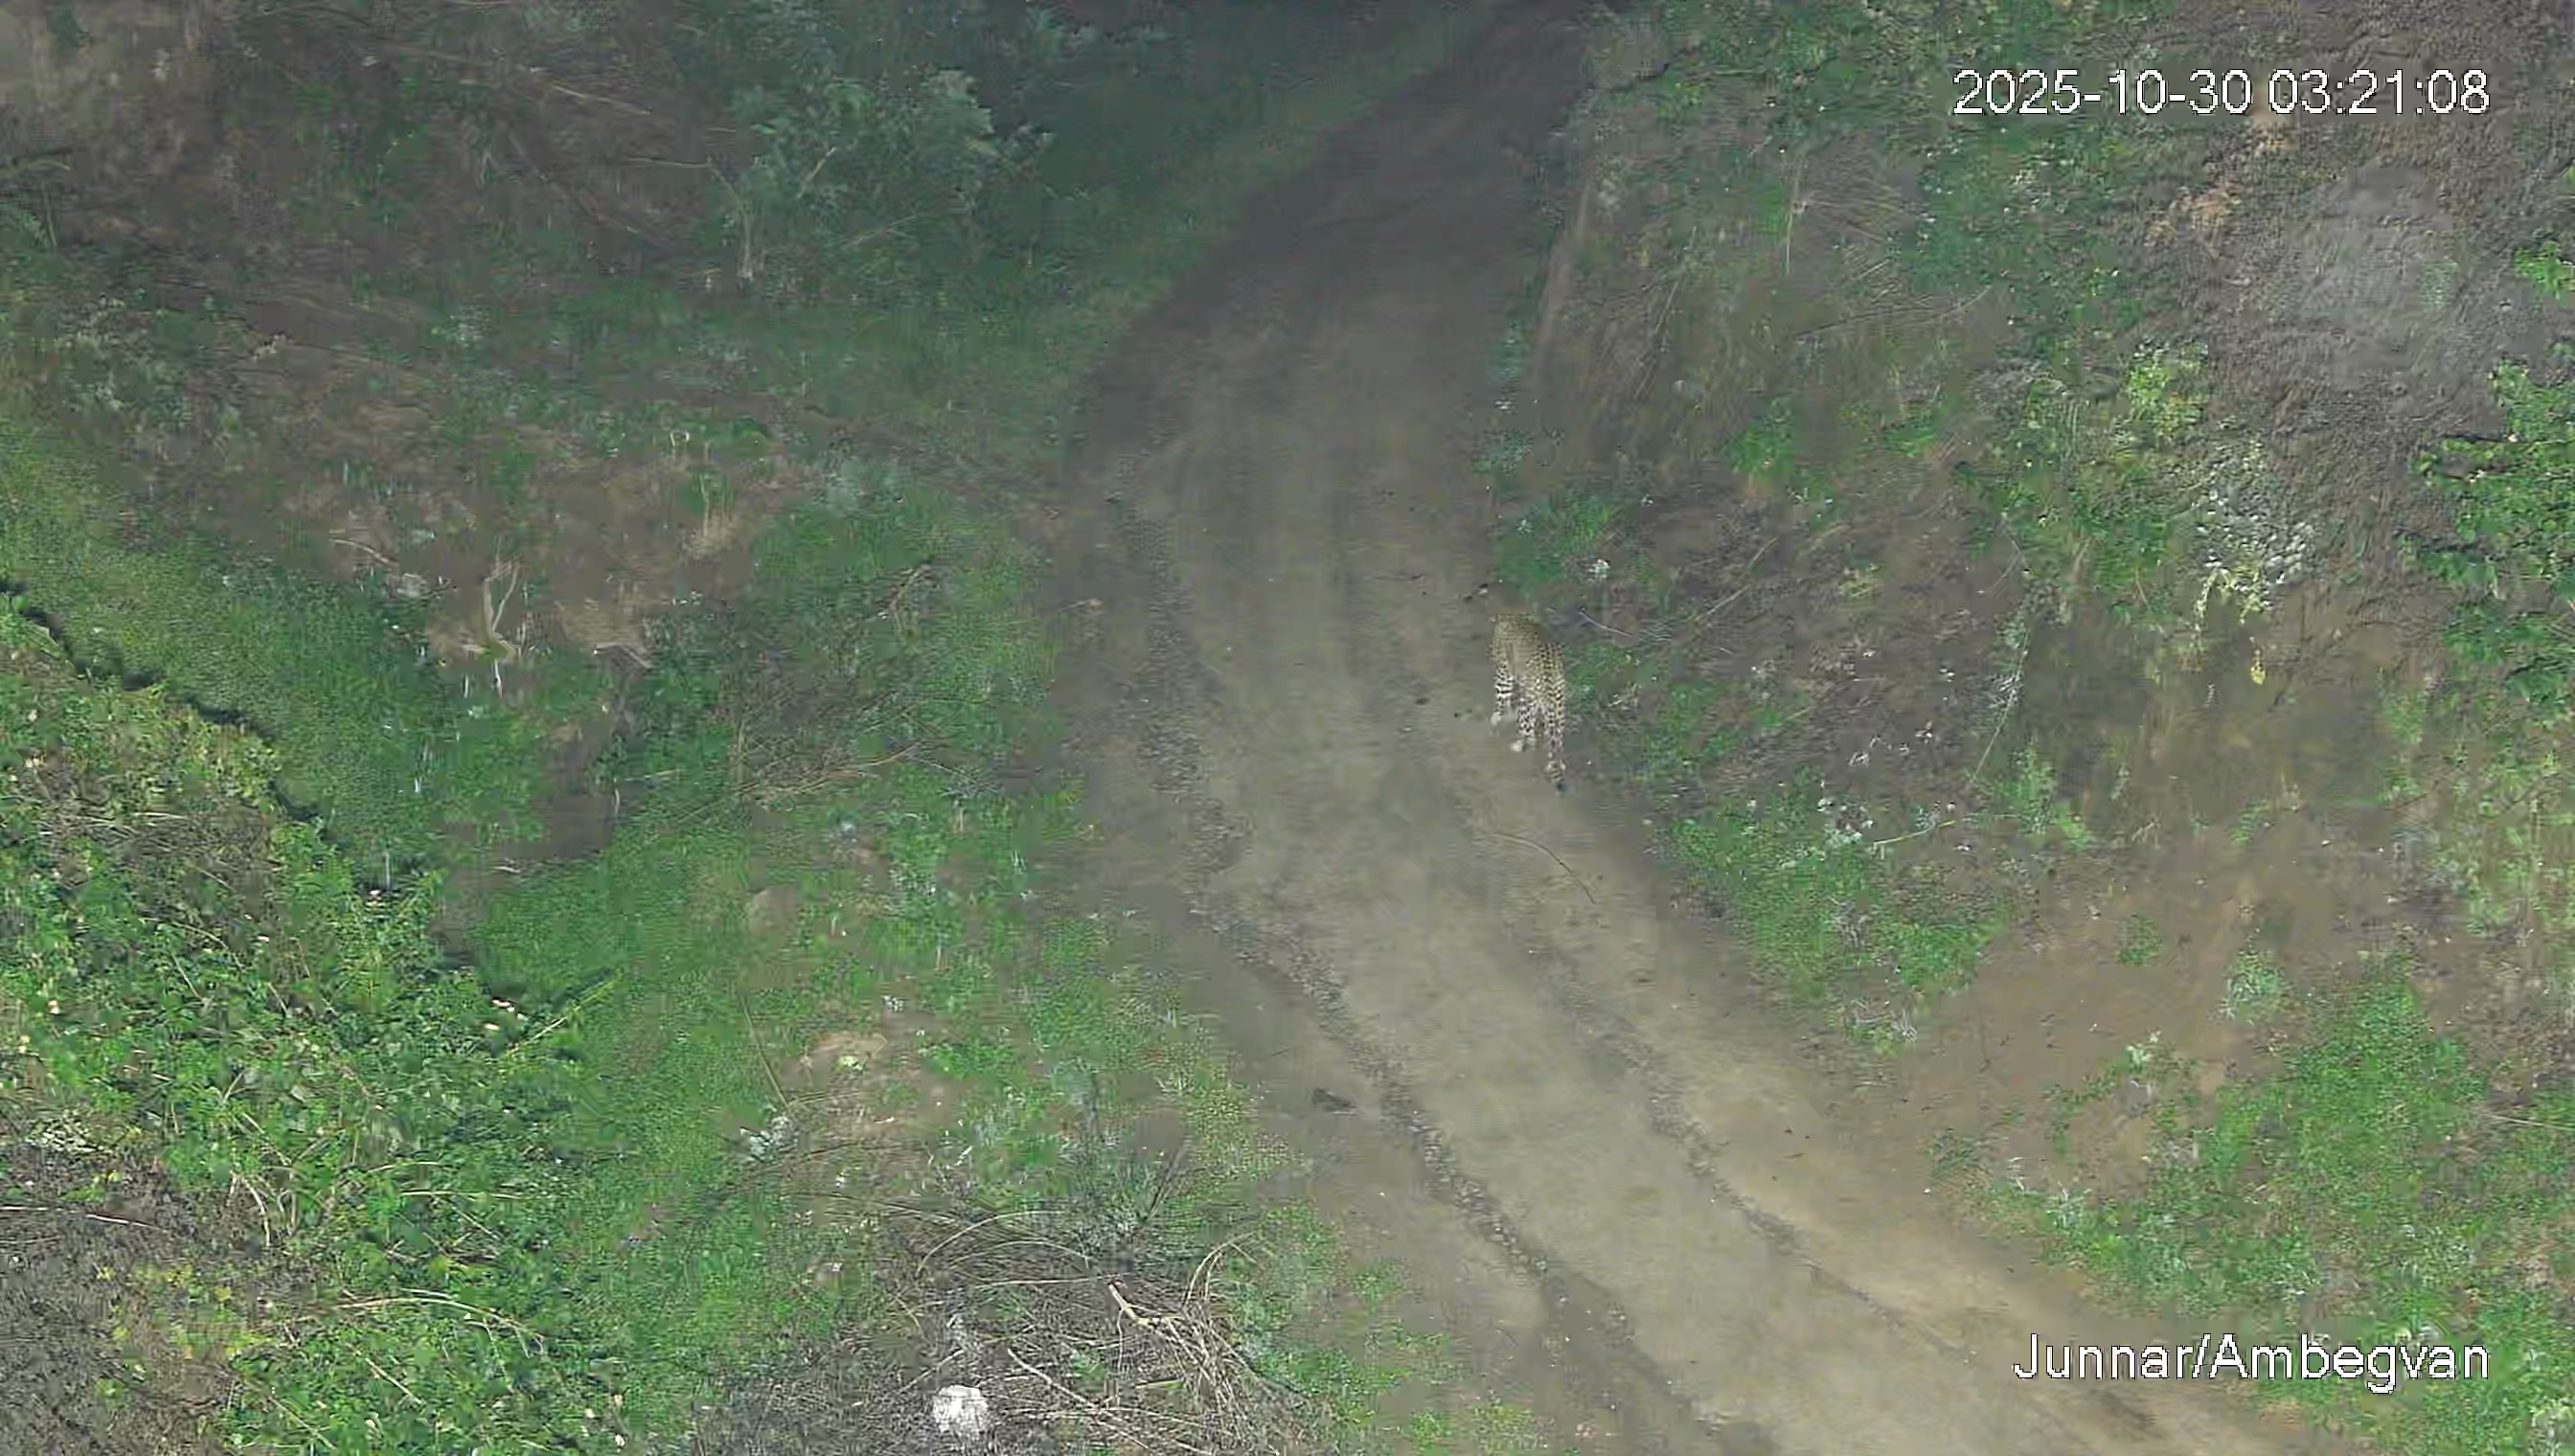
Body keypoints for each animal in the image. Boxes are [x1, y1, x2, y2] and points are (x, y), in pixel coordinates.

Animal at [1489, 613, 1570, 792]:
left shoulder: (1504, 674)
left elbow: (1502, 698)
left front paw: (1498, 716)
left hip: (1527, 700)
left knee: (1526, 728)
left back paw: (1520, 745)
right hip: (1558, 705)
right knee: (1556, 738)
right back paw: (1556, 763)